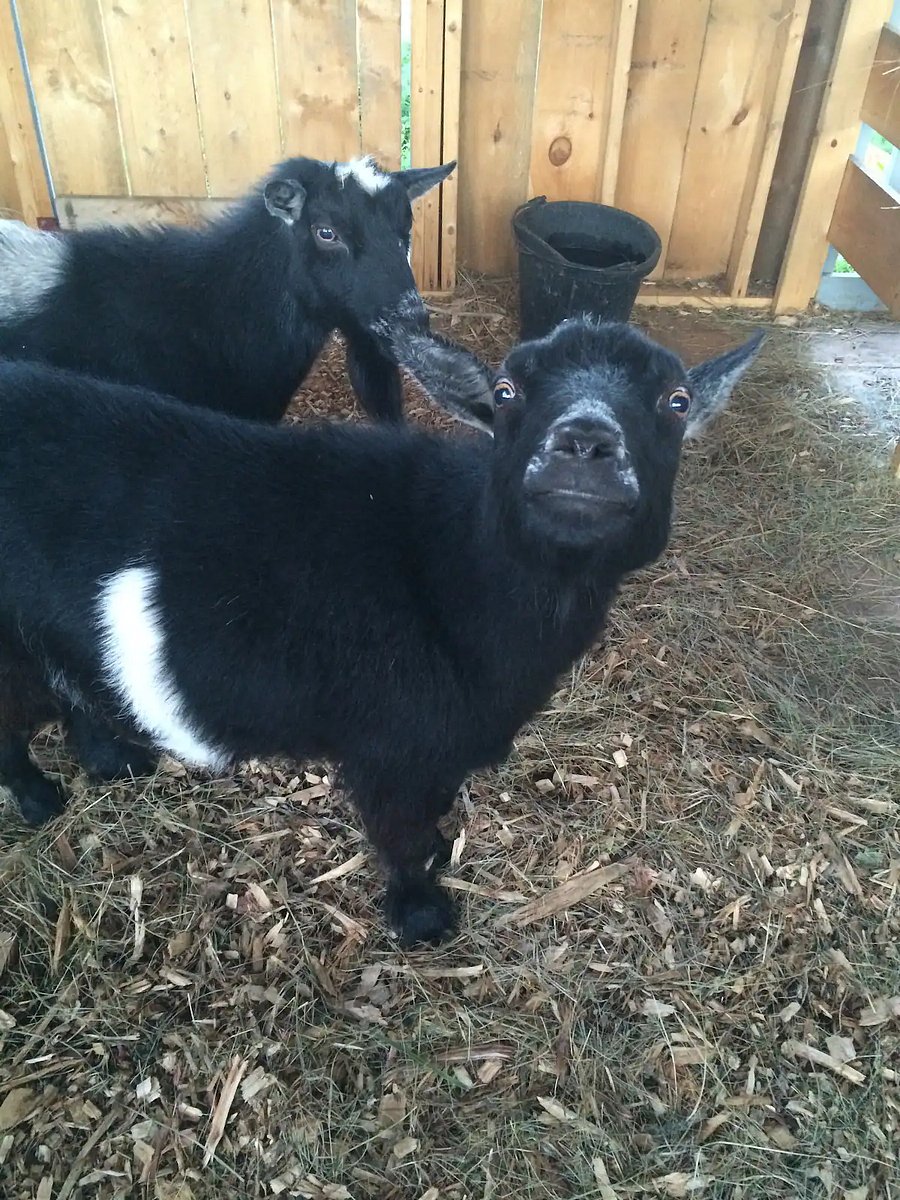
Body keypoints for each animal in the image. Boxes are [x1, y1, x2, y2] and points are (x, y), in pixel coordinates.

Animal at [0, 318, 762, 945]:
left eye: (677, 401)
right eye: (506, 391)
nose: (585, 441)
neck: (452, 567)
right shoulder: (392, 749)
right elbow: (400, 834)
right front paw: (421, 915)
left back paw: (112, 760)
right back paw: (40, 799)